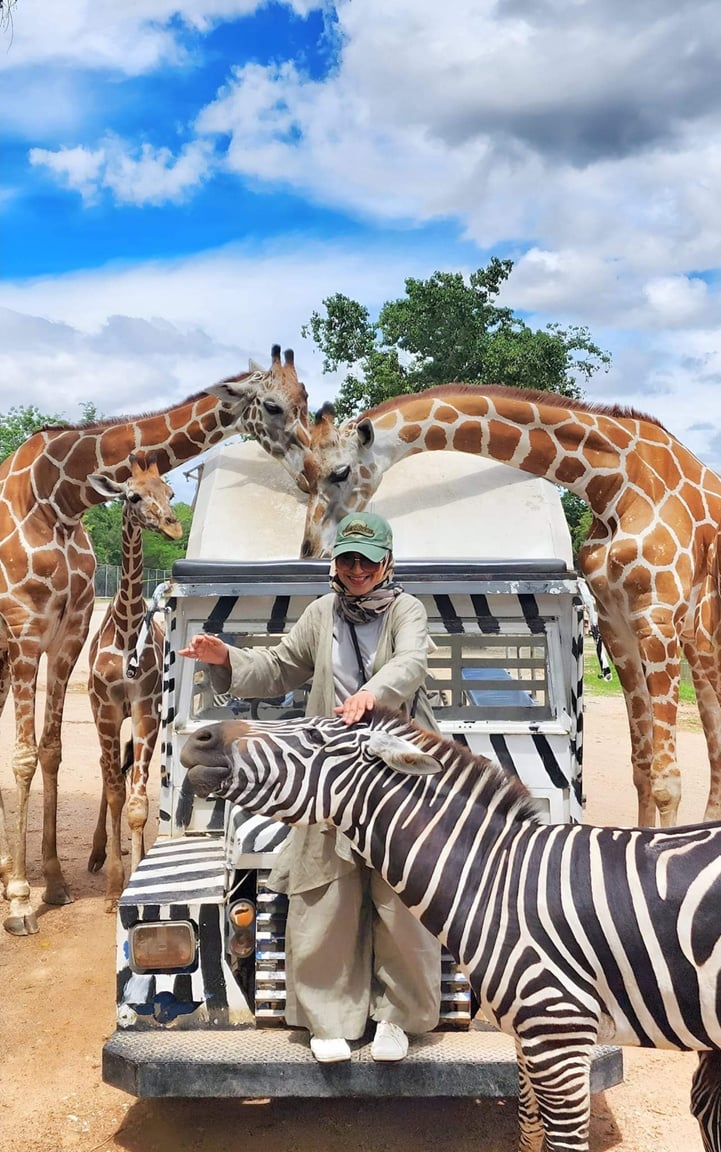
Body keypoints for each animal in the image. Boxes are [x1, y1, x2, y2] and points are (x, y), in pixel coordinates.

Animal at [0, 343, 306, 935]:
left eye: (307, 398)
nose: (321, 471)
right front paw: (23, 900)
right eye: (274, 406)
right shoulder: (27, 630)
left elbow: (53, 752)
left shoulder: (68, 634)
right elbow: (26, 757)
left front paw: (56, 881)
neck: (56, 495)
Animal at [178, 700, 718, 1152]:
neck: (496, 879)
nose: (200, 738)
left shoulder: (559, 1032)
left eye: (312, 735)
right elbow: (528, 1129)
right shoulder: (527, 1036)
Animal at [297, 384, 718, 829]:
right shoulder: (616, 623)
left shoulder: (656, 618)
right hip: (696, 642)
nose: (311, 549)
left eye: (340, 472)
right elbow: (642, 765)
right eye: (304, 475)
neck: (614, 482)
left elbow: (665, 779)